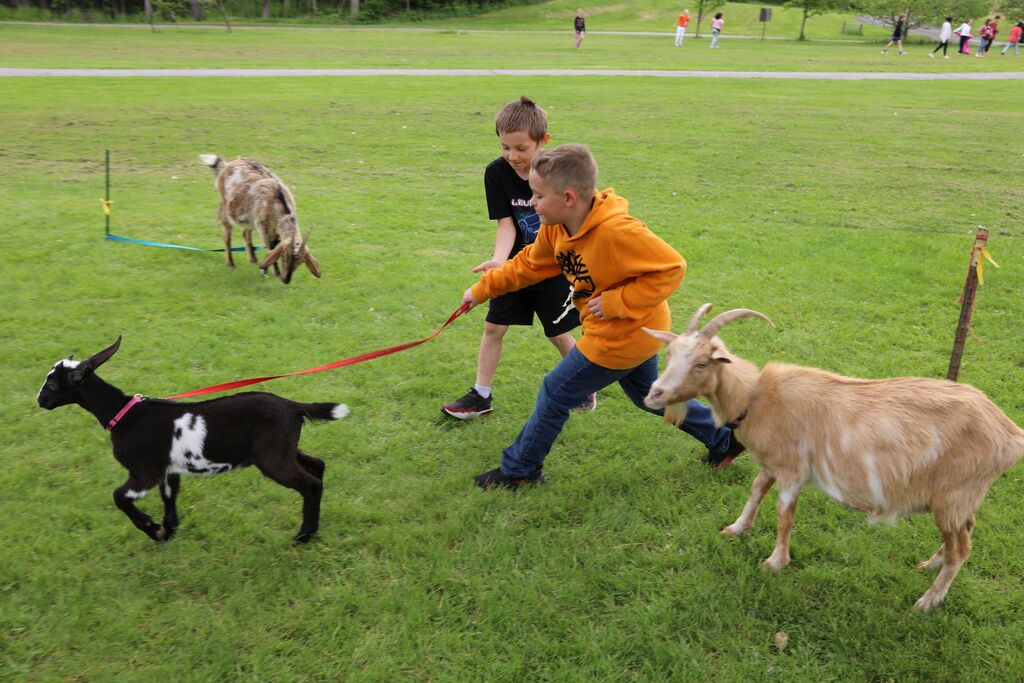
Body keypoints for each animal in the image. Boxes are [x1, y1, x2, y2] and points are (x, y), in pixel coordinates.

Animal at [37, 337, 349, 544]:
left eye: (51, 383)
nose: (40, 400)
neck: (124, 414)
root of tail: (293, 406)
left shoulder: (145, 472)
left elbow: (119, 497)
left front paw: (153, 530)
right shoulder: (168, 469)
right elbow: (169, 496)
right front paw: (168, 529)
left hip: (273, 458)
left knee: (311, 484)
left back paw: (304, 535)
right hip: (284, 449)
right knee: (317, 465)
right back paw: (313, 527)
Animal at [199, 154, 321, 284]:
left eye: (300, 262)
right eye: (284, 258)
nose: (286, 280)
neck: (278, 202)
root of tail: (227, 165)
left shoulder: (274, 229)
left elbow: (274, 246)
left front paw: (266, 269)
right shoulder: (264, 228)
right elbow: (270, 247)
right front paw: (272, 272)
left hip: (250, 218)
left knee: (245, 233)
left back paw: (253, 259)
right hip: (227, 208)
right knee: (227, 236)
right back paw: (231, 264)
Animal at [643, 304, 1024, 611]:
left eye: (702, 363)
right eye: (670, 354)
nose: (654, 394)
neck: (757, 397)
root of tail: (1010, 433)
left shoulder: (793, 469)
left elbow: (784, 515)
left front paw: (775, 562)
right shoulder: (773, 463)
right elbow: (756, 490)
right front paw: (737, 528)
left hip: (952, 497)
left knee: (962, 550)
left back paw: (928, 601)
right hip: (962, 500)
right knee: (965, 533)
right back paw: (930, 565)